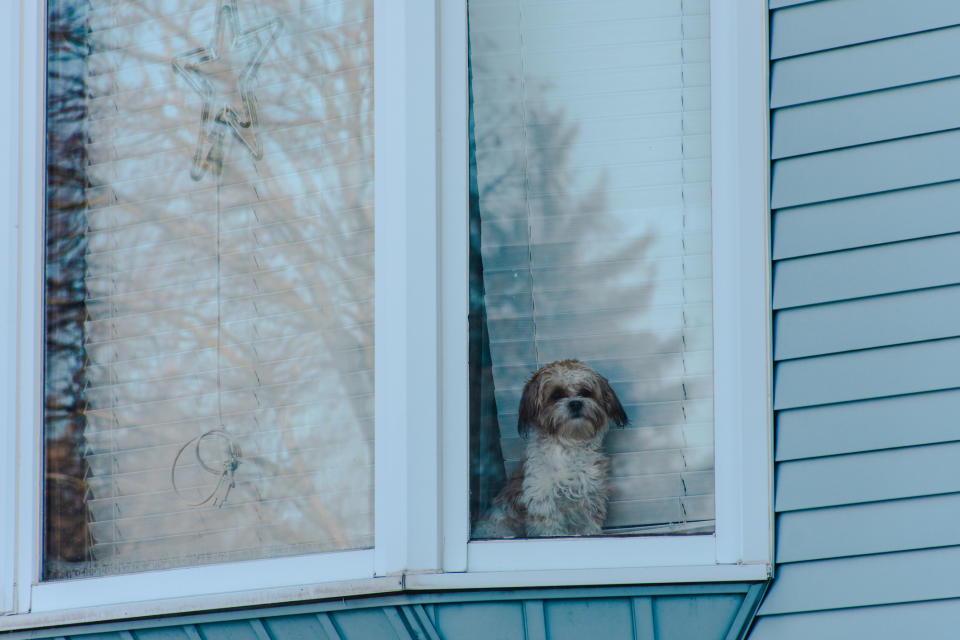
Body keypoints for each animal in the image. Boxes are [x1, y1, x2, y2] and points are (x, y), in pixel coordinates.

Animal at [474, 358, 632, 536]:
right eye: (556, 395)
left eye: (585, 392)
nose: (575, 403)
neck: (570, 446)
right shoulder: (543, 506)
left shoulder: (590, 500)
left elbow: (588, 527)